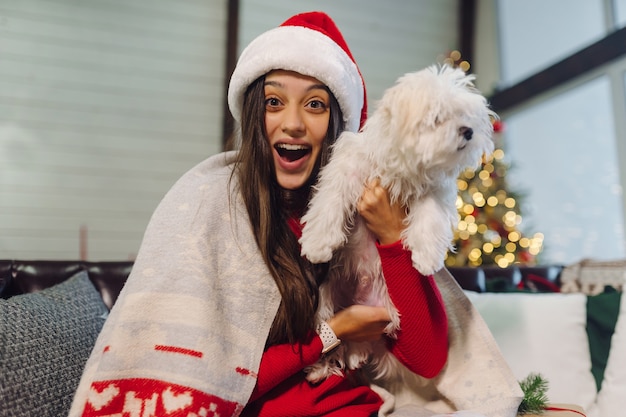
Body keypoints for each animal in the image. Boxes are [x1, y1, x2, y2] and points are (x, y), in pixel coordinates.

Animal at [300, 64, 494, 380]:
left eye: (465, 116)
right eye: (437, 118)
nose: (468, 131)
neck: (406, 169)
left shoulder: (433, 193)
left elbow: (429, 220)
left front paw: (426, 259)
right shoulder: (347, 172)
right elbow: (330, 202)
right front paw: (317, 244)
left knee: (360, 342)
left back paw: (355, 354)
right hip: (325, 296)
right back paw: (321, 367)